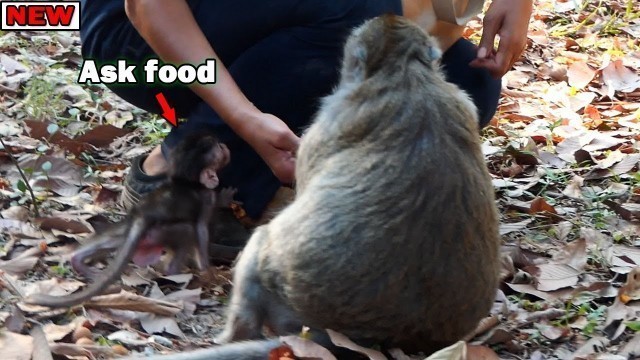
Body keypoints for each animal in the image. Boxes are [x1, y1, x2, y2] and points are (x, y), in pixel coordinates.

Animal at [28, 134, 232, 308]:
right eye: (219, 148)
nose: (224, 145)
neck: (185, 181)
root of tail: (142, 215)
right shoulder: (206, 198)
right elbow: (201, 229)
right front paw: (209, 271)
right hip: (159, 233)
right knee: (187, 231)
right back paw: (175, 272)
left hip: (131, 230)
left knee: (113, 239)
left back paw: (78, 260)